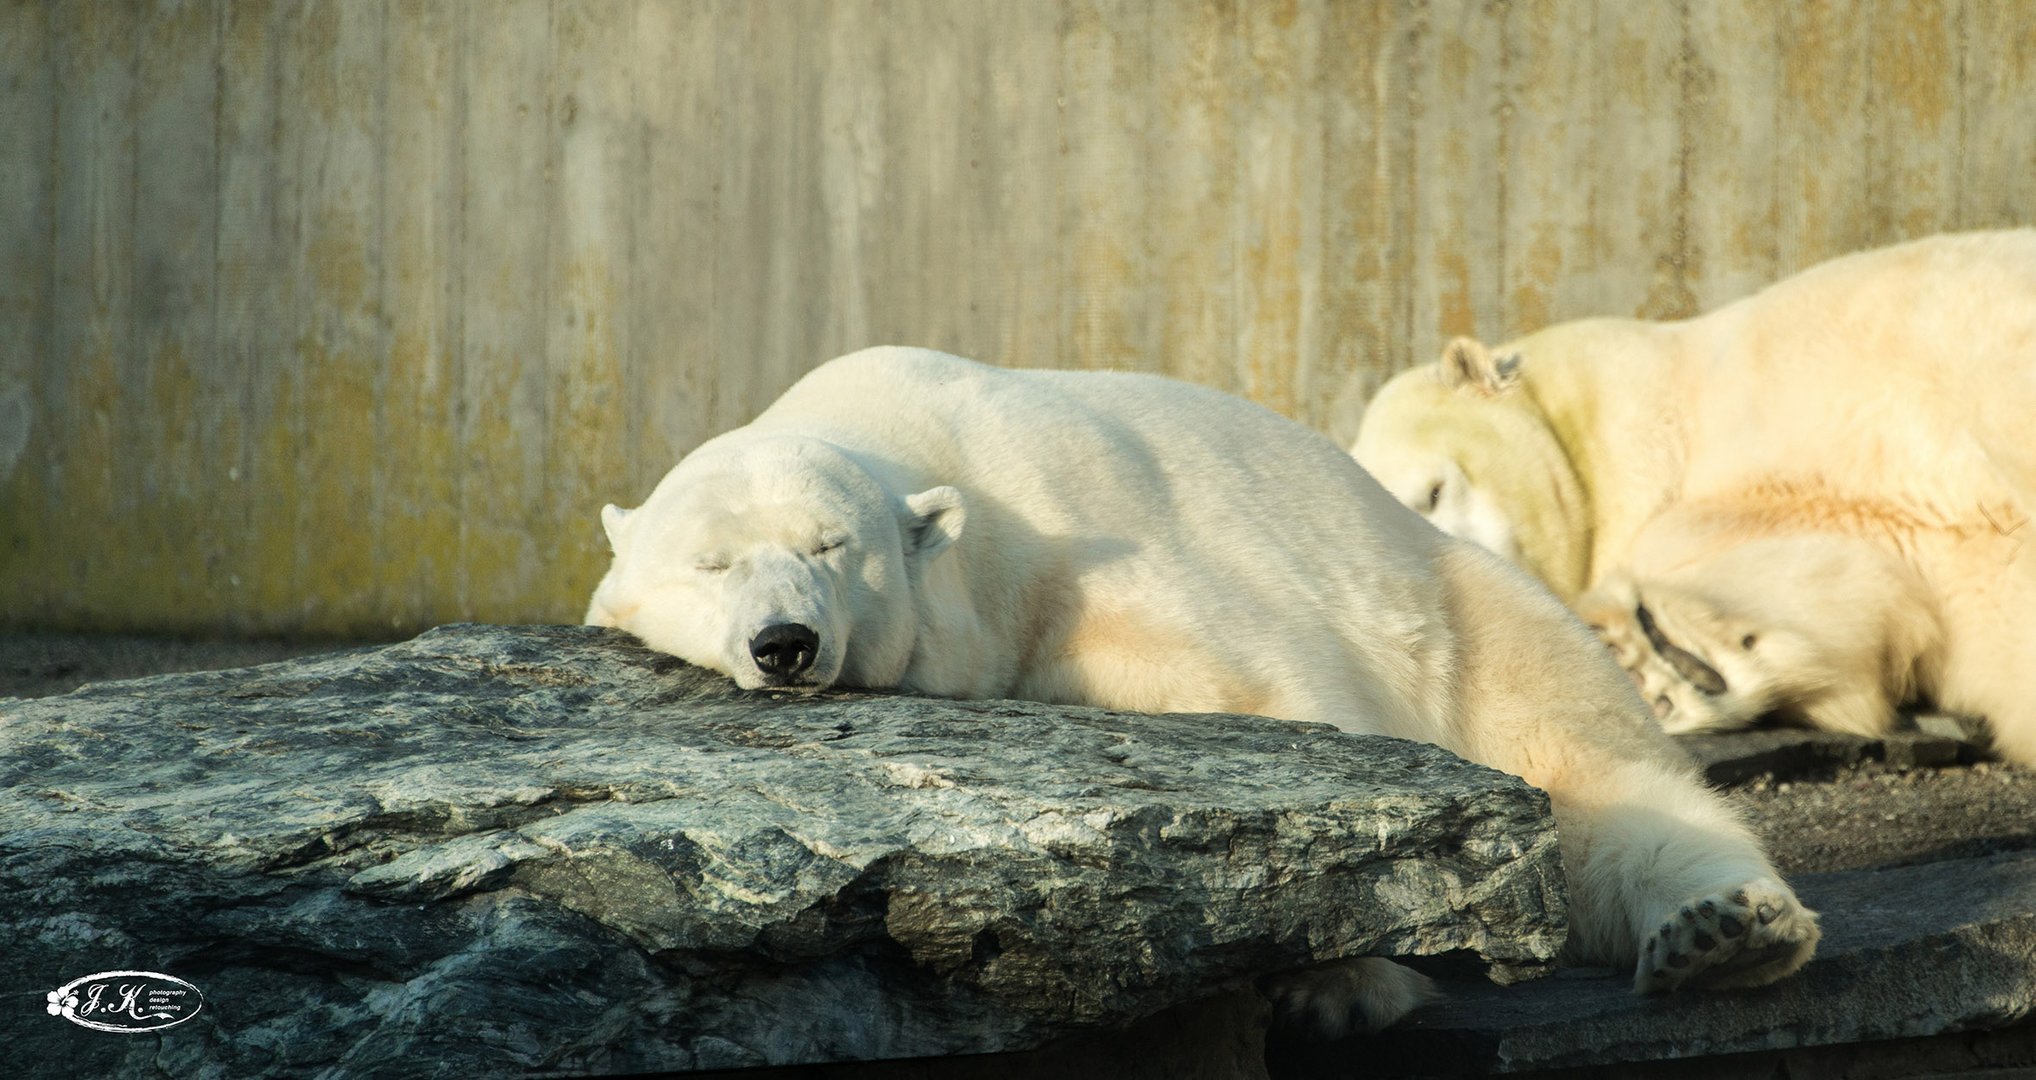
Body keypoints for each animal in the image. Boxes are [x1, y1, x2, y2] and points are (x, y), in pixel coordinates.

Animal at [586, 348, 1816, 1031]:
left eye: (830, 546)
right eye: (710, 565)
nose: (784, 643)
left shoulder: (1075, 552)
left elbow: (1268, 694)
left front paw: (1336, 983)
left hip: (1468, 617)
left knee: (1592, 773)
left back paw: (1725, 930)